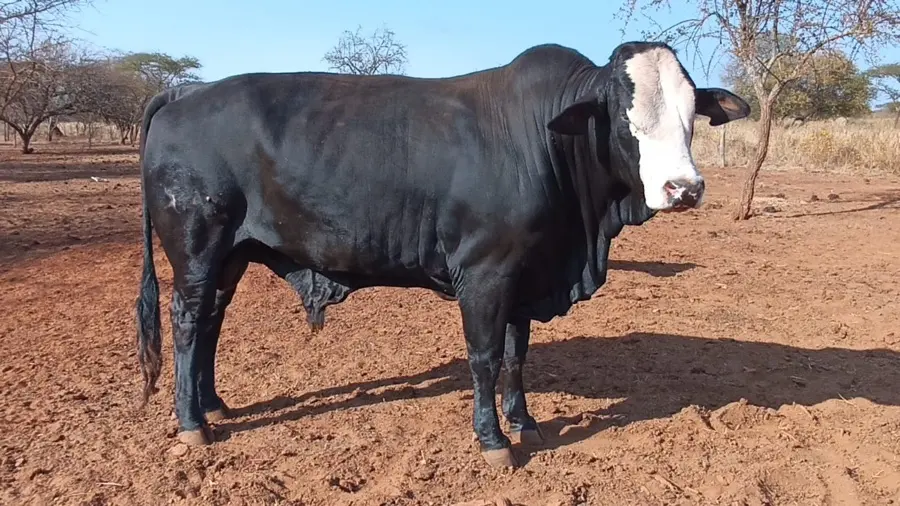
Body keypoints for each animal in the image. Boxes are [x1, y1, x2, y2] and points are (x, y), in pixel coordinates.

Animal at [135, 41, 749, 468]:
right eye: (624, 115)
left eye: (691, 112)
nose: (684, 188)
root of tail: (186, 92)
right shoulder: (484, 274)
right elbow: (484, 357)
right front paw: (494, 440)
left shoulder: (523, 276)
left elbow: (516, 356)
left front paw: (525, 423)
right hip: (197, 247)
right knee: (187, 322)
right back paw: (192, 422)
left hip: (232, 254)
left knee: (211, 322)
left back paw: (214, 404)